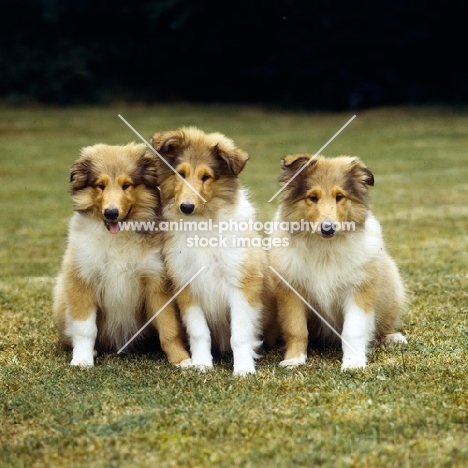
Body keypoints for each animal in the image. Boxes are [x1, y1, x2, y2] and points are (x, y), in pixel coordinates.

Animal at [51, 142, 190, 366]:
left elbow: (169, 327)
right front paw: (82, 360)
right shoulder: (82, 279)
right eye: (101, 185)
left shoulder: (156, 281)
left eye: (126, 185)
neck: (118, 237)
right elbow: (84, 328)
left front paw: (181, 360)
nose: (111, 213)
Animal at [152, 126, 270, 374]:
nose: (186, 207)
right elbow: (199, 332)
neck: (202, 223)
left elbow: (240, 334)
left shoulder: (242, 283)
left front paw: (243, 369)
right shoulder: (186, 283)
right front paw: (201, 364)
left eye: (206, 177)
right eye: (181, 174)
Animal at [268, 155, 408, 372]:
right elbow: (296, 329)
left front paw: (353, 363)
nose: (328, 228)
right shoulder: (292, 291)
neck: (325, 248)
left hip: (392, 291)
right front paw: (294, 360)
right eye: (313, 197)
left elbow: (353, 330)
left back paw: (393, 337)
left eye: (339, 197)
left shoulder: (359, 290)